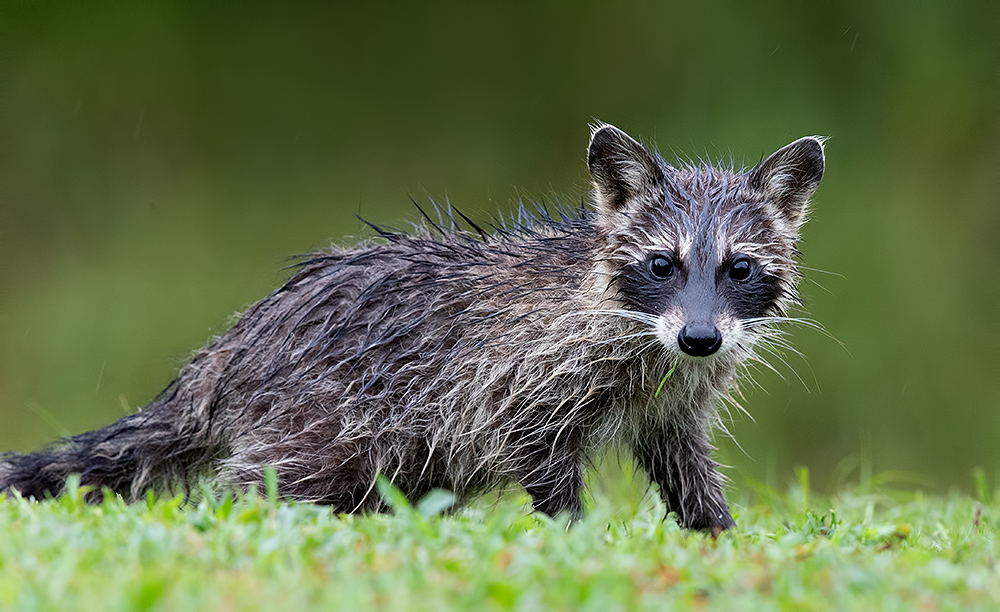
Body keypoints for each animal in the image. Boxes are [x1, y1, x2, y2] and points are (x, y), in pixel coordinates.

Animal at [0, 123, 824, 532]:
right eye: (662, 263)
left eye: (739, 268)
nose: (701, 338)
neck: (647, 334)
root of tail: (233, 346)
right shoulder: (526, 370)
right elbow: (535, 448)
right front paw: (575, 538)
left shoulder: (673, 395)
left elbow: (683, 459)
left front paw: (715, 530)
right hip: (320, 414)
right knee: (273, 478)